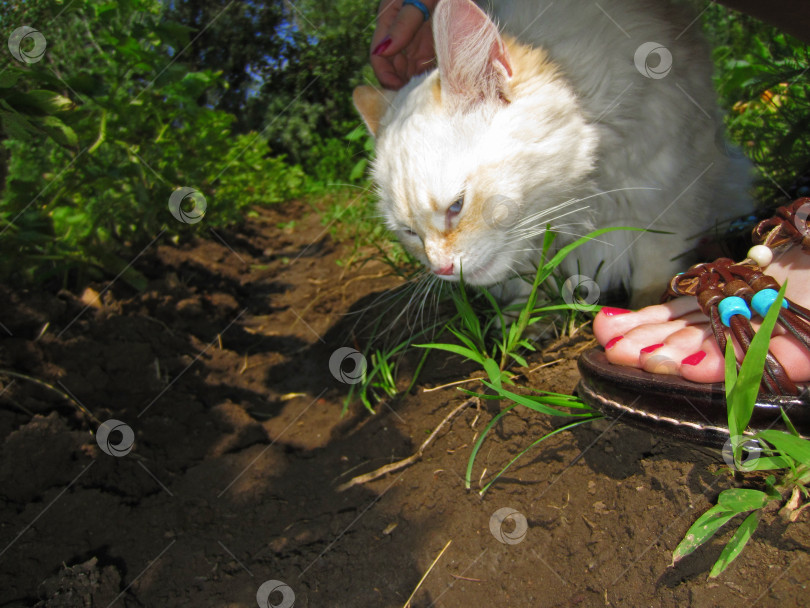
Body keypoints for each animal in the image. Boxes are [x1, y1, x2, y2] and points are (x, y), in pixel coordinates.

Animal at [354, 0, 752, 306]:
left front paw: (648, 313)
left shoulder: (672, 186)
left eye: (457, 207)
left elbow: (654, 271)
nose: (442, 270)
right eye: (409, 233)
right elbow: (526, 290)